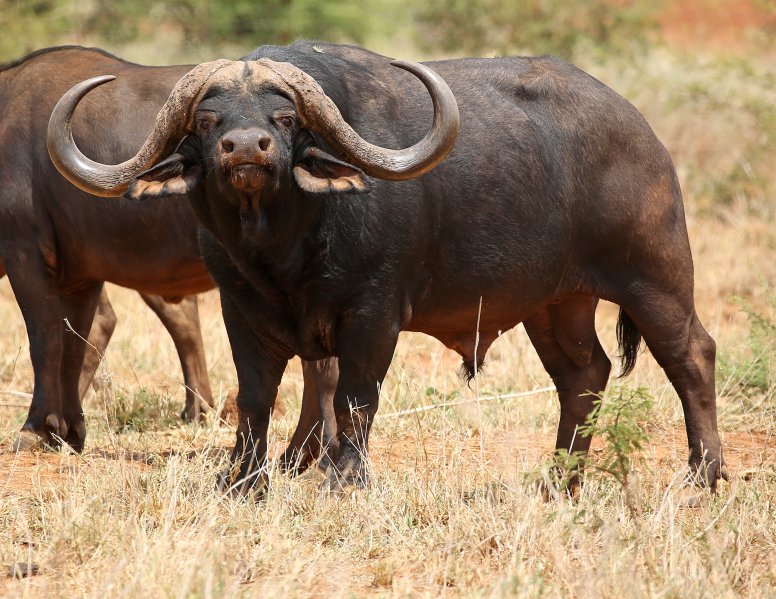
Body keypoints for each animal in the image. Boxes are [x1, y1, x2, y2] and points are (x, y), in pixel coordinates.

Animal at [48, 41, 725, 496]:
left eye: (284, 119)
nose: (245, 149)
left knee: (691, 356)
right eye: (208, 120)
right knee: (584, 375)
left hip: (655, 277)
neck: (284, 251)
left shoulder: (373, 314)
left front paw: (344, 479)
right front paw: (243, 479)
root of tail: (640, 130)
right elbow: (255, 397)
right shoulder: (241, 310)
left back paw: (704, 475)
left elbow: (353, 396)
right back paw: (559, 480)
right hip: (555, 304)